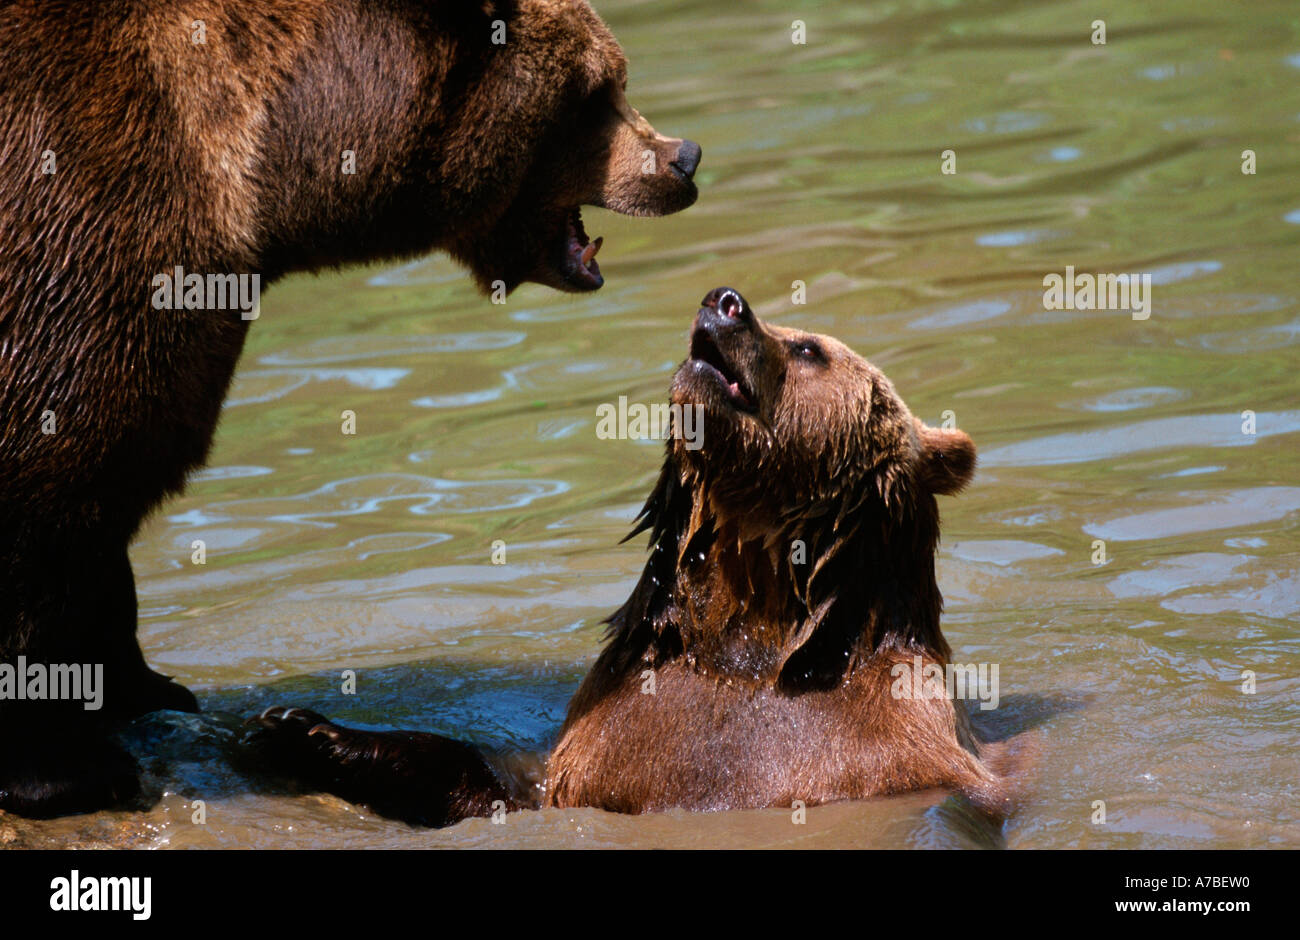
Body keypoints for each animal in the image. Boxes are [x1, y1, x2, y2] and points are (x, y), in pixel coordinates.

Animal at [0, 0, 702, 821]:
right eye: (597, 90)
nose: (683, 158)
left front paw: (148, 688)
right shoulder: (89, 230)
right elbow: (59, 479)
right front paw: (69, 767)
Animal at [245, 288, 1013, 832]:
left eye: (808, 349)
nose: (723, 301)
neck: (753, 632)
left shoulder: (881, 749)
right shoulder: (608, 740)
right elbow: (494, 786)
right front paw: (299, 728)